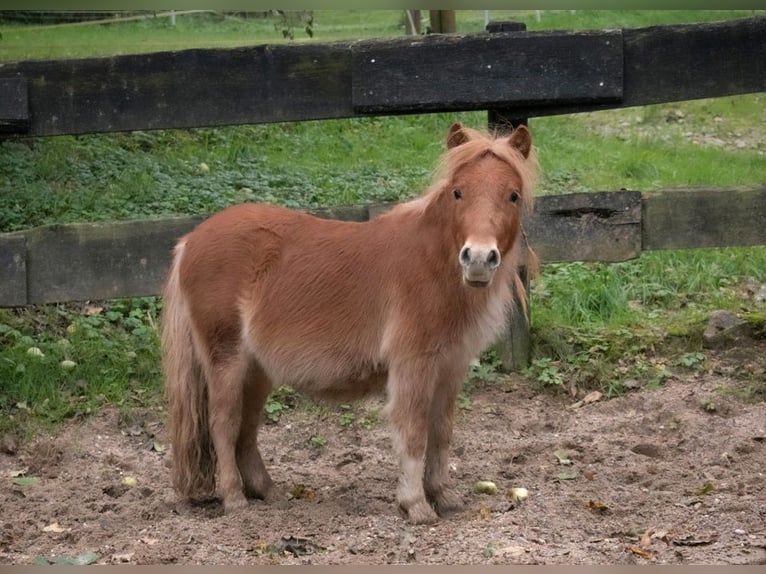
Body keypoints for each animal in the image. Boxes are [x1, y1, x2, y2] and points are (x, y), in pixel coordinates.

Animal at [164, 122, 540, 528]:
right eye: (458, 192)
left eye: (513, 195)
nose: (479, 259)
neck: (434, 263)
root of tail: (190, 240)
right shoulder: (414, 365)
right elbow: (413, 432)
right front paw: (415, 504)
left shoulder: (450, 368)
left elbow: (441, 433)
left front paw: (444, 496)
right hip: (226, 360)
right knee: (224, 424)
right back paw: (235, 500)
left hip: (257, 369)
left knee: (246, 429)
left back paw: (269, 493)